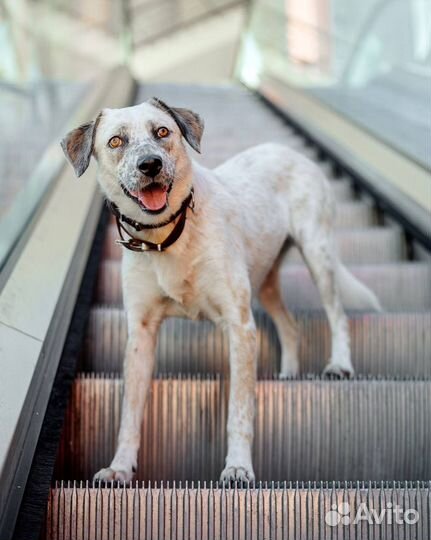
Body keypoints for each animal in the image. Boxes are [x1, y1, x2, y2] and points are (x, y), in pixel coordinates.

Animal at [61, 97, 382, 486]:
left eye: (162, 131)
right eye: (115, 141)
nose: (150, 164)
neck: (168, 236)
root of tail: (289, 150)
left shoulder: (240, 326)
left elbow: (240, 409)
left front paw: (238, 467)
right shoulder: (140, 334)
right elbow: (129, 413)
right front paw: (120, 467)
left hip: (317, 252)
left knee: (337, 315)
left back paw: (340, 364)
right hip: (265, 279)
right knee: (290, 326)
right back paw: (289, 373)